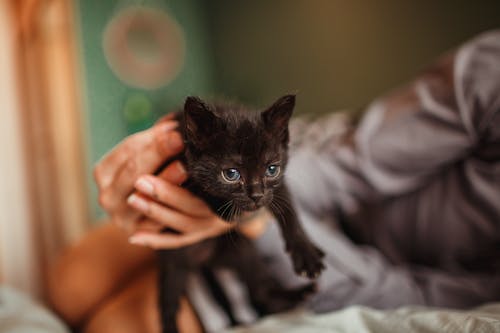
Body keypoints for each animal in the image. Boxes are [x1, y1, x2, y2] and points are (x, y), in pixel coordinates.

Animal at [158, 94, 326, 330]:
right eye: (231, 174)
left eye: (271, 169)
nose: (256, 195)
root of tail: (204, 260)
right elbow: (203, 190)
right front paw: (224, 209)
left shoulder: (277, 187)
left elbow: (288, 211)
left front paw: (306, 254)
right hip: (174, 264)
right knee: (168, 305)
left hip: (242, 252)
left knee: (258, 289)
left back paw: (293, 297)